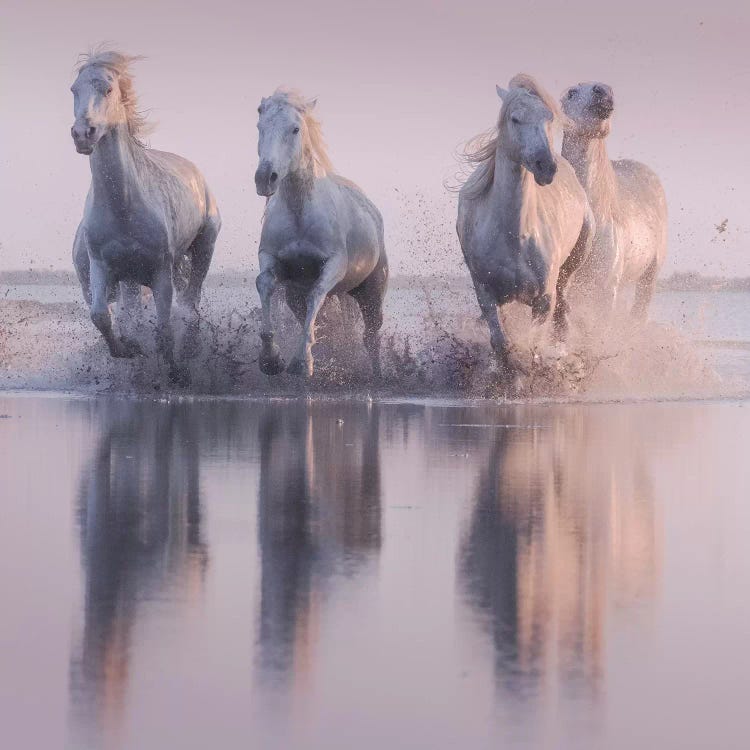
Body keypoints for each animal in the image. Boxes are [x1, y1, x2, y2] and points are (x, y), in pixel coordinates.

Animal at [70, 51, 220, 388]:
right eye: (73, 89)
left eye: (108, 89)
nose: (83, 134)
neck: (124, 208)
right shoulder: (102, 266)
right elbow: (102, 316)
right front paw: (128, 349)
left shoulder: (161, 272)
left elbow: (164, 330)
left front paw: (177, 374)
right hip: (129, 277)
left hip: (204, 245)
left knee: (190, 305)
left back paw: (191, 347)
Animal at [256, 90, 390, 378]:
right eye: (260, 127)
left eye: (295, 129)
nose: (265, 178)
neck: (299, 214)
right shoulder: (272, 260)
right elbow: (264, 284)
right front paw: (271, 359)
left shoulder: (334, 265)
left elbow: (316, 292)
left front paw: (302, 362)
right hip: (297, 296)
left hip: (372, 291)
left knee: (371, 336)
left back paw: (377, 374)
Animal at [456, 74, 596, 384]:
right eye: (515, 118)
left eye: (548, 118)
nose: (546, 166)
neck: (514, 235)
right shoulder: (485, 293)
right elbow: (501, 343)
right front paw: (507, 378)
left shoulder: (543, 299)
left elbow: (533, 346)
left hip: (572, 266)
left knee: (563, 312)